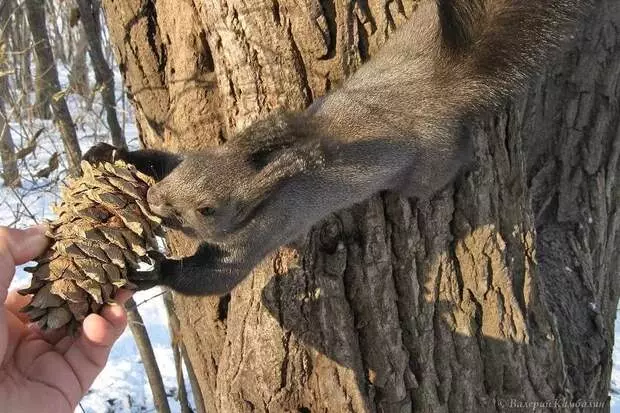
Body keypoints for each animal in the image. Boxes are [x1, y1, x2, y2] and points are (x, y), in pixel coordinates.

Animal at [83, 0, 592, 296]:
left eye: (208, 209)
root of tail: (445, 86)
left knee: (444, 168)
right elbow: (159, 159)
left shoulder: (261, 232)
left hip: (428, 168)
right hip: (418, 33)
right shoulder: (188, 157)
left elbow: (218, 275)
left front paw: (154, 273)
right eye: (200, 163)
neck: (262, 171)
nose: (154, 201)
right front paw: (107, 155)